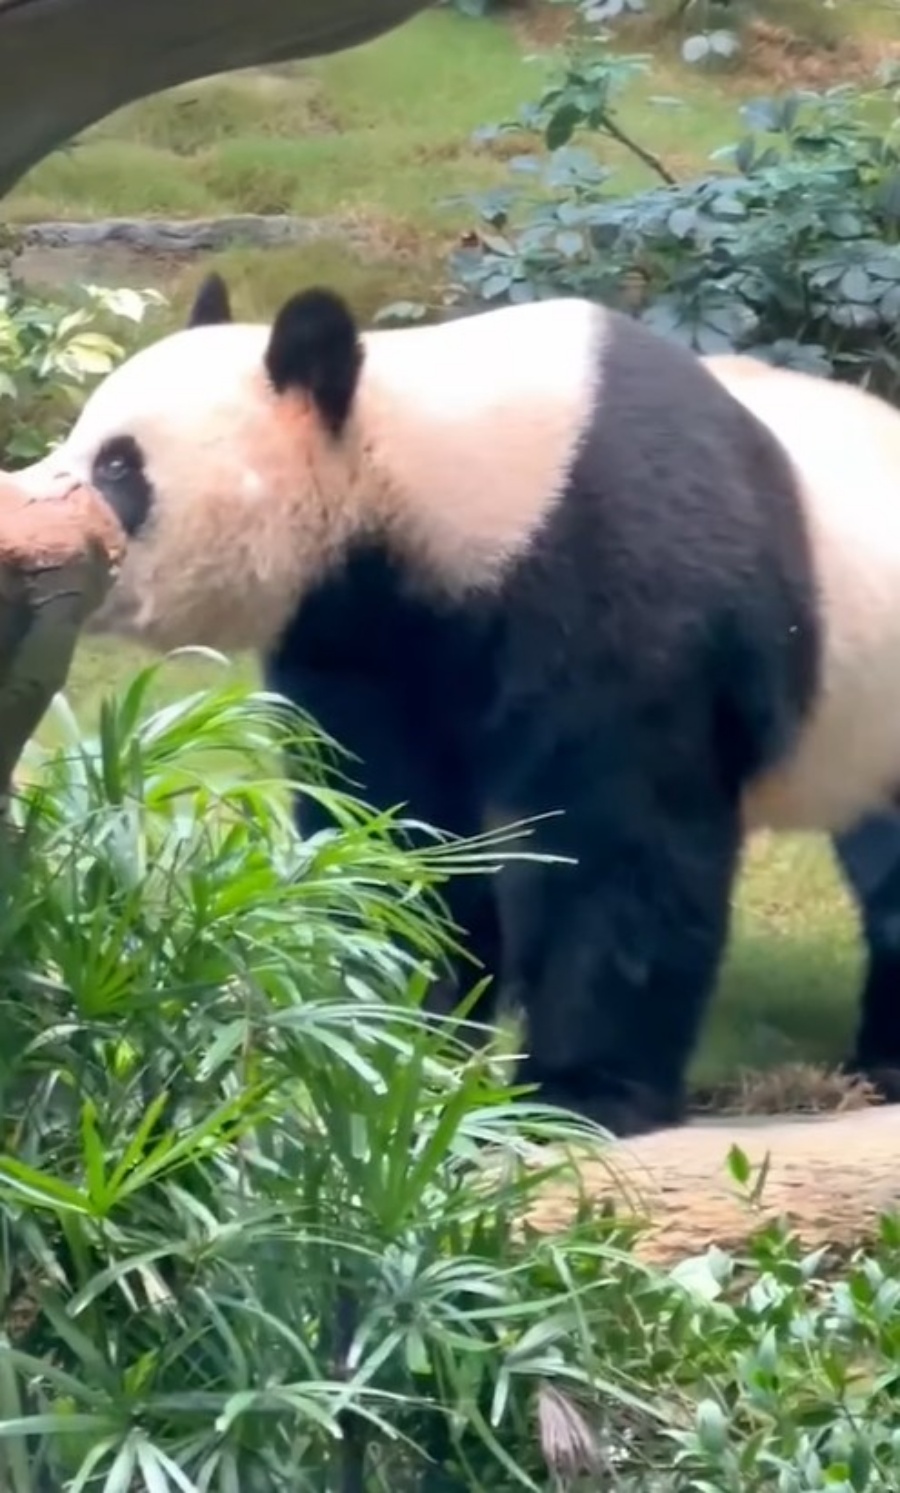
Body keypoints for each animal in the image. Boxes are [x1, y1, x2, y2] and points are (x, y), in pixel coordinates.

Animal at [14, 268, 900, 1134]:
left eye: (119, 464)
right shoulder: (370, 641)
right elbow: (395, 827)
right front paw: (394, 1041)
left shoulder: (627, 578)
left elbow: (624, 839)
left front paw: (575, 1094)